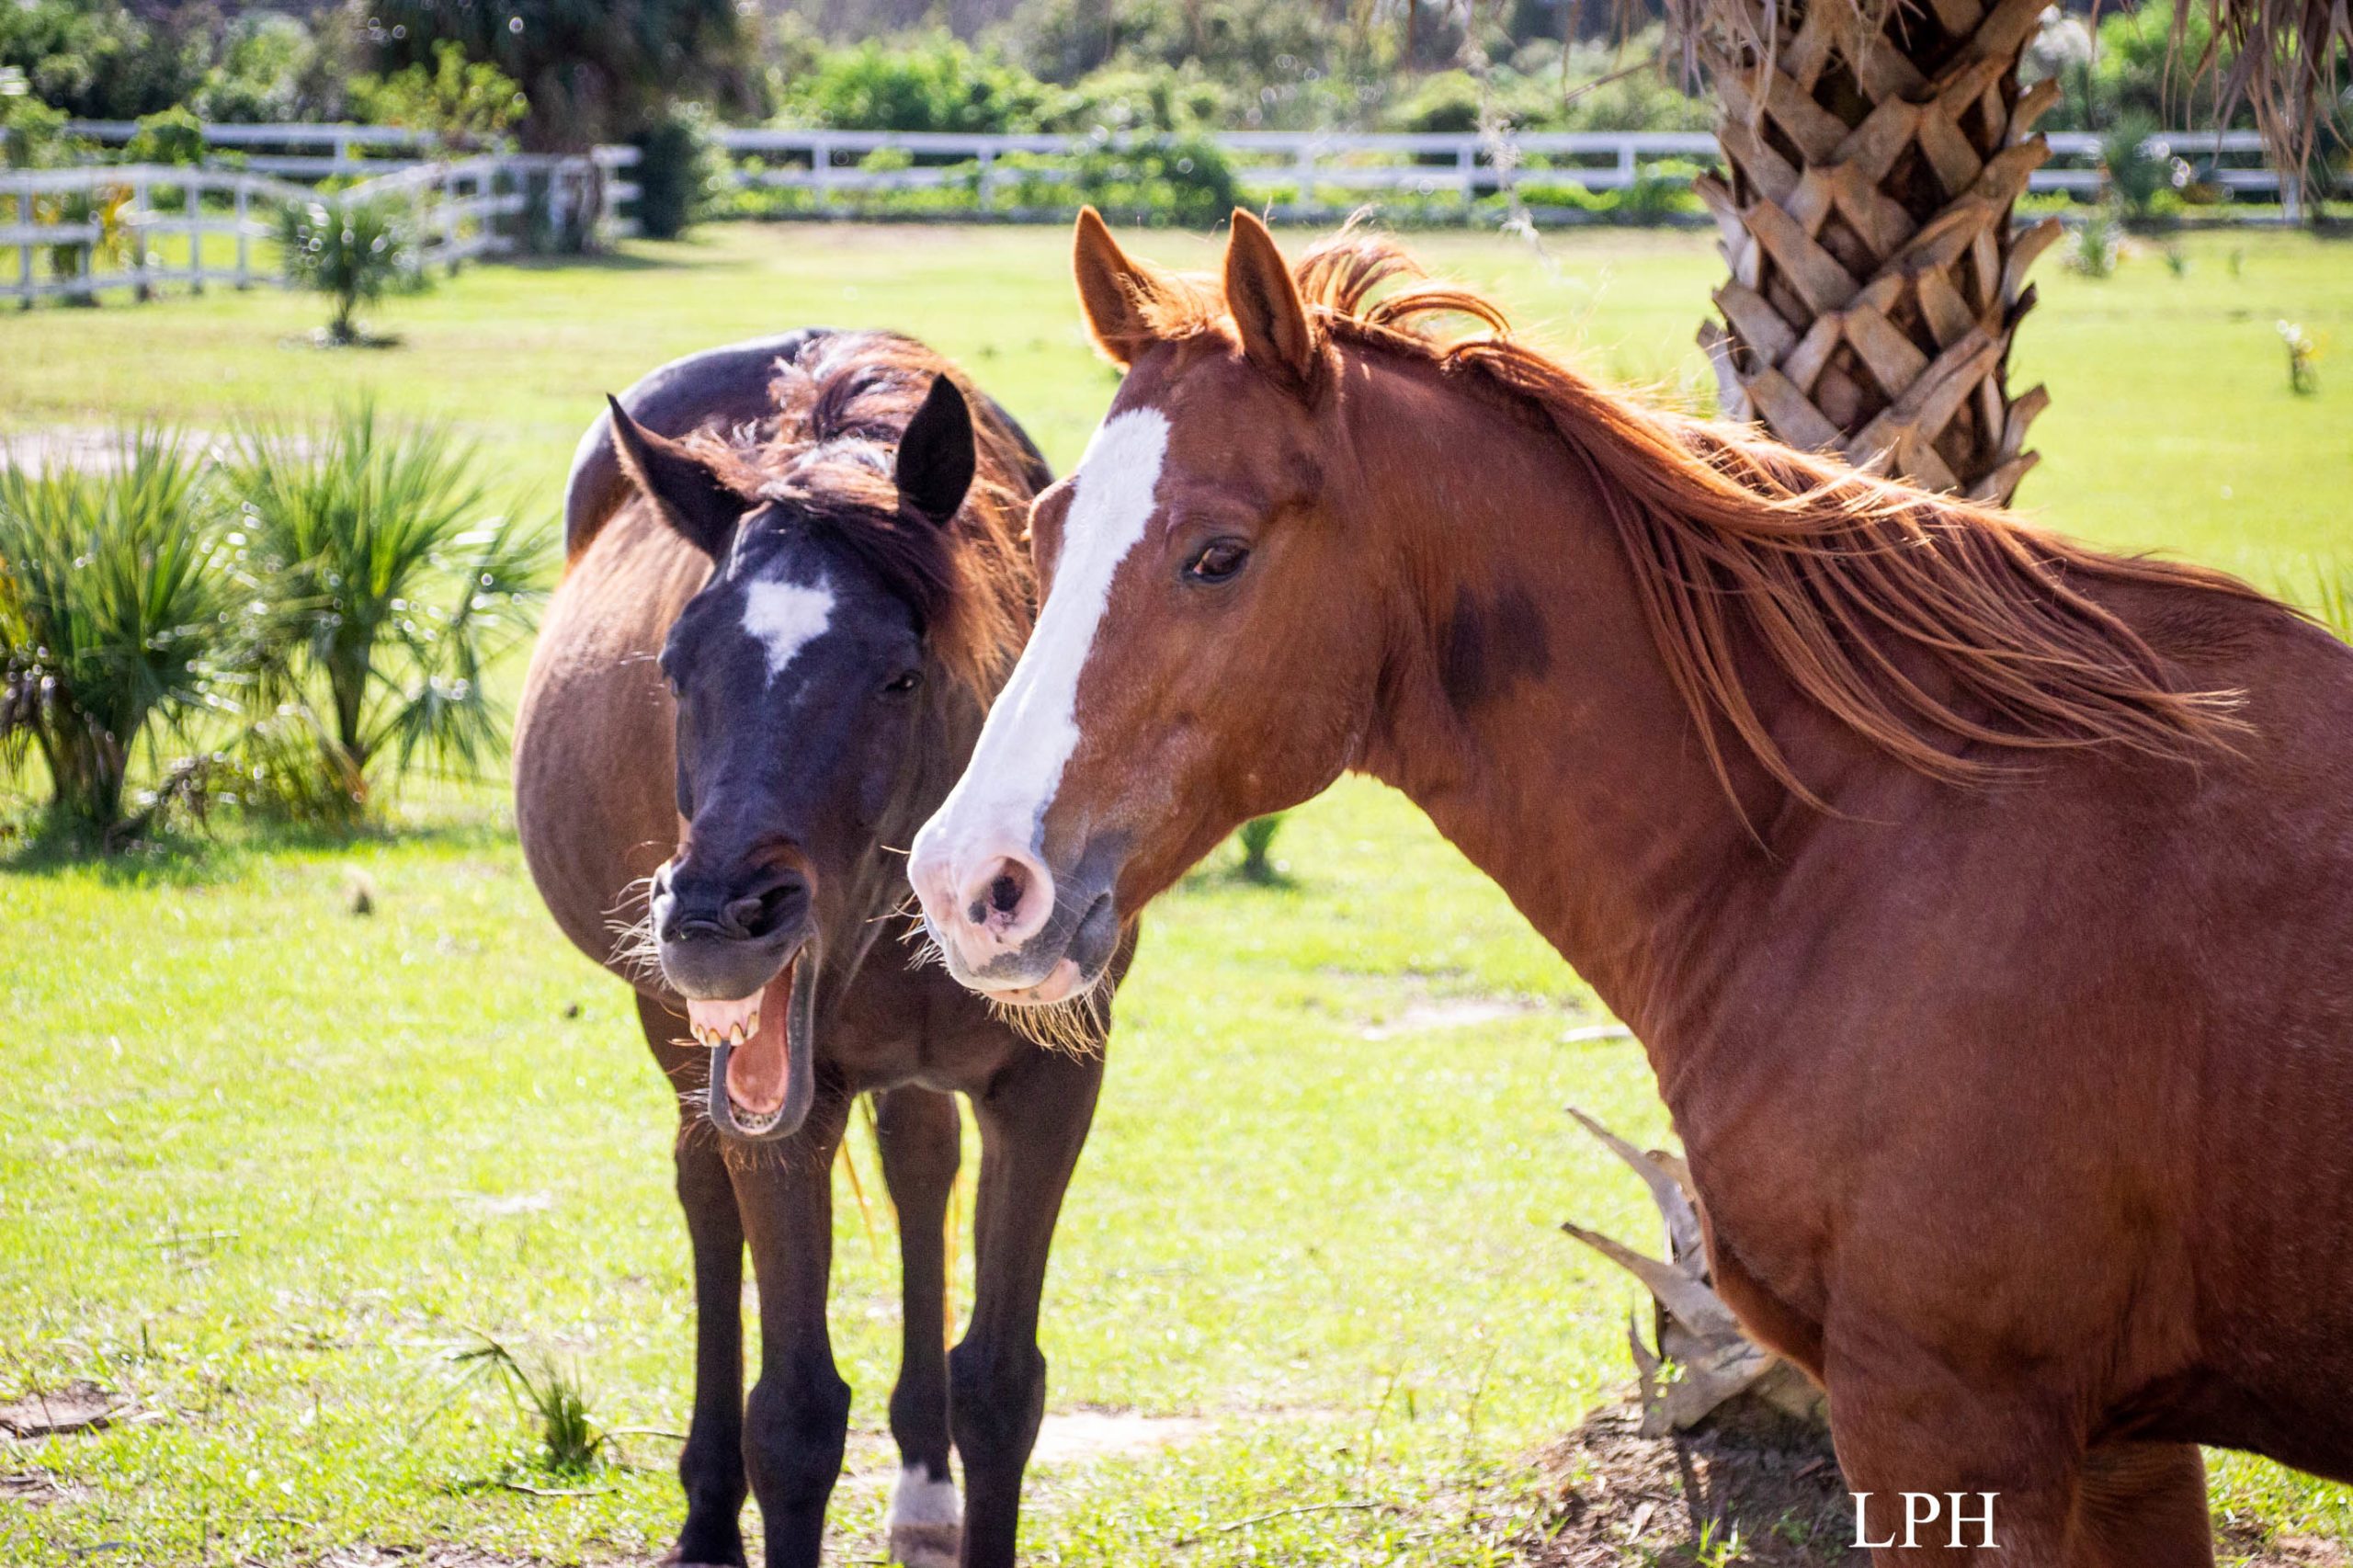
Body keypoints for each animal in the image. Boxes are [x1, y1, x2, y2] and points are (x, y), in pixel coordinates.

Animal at [514, 328, 1124, 1568]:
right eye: (675, 666)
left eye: (899, 672)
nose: (712, 916)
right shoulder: (783, 1098)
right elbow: (793, 1417)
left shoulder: (1052, 1079)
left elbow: (1001, 1386)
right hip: (678, 1034)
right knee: (704, 1191)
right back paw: (707, 1514)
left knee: (920, 1163)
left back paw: (923, 1484)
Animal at [907, 210, 2353, 1565]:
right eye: (1043, 528)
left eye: (1216, 552)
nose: (970, 880)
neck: (1865, 840)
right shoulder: (2128, 1447)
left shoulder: (1954, 1429)